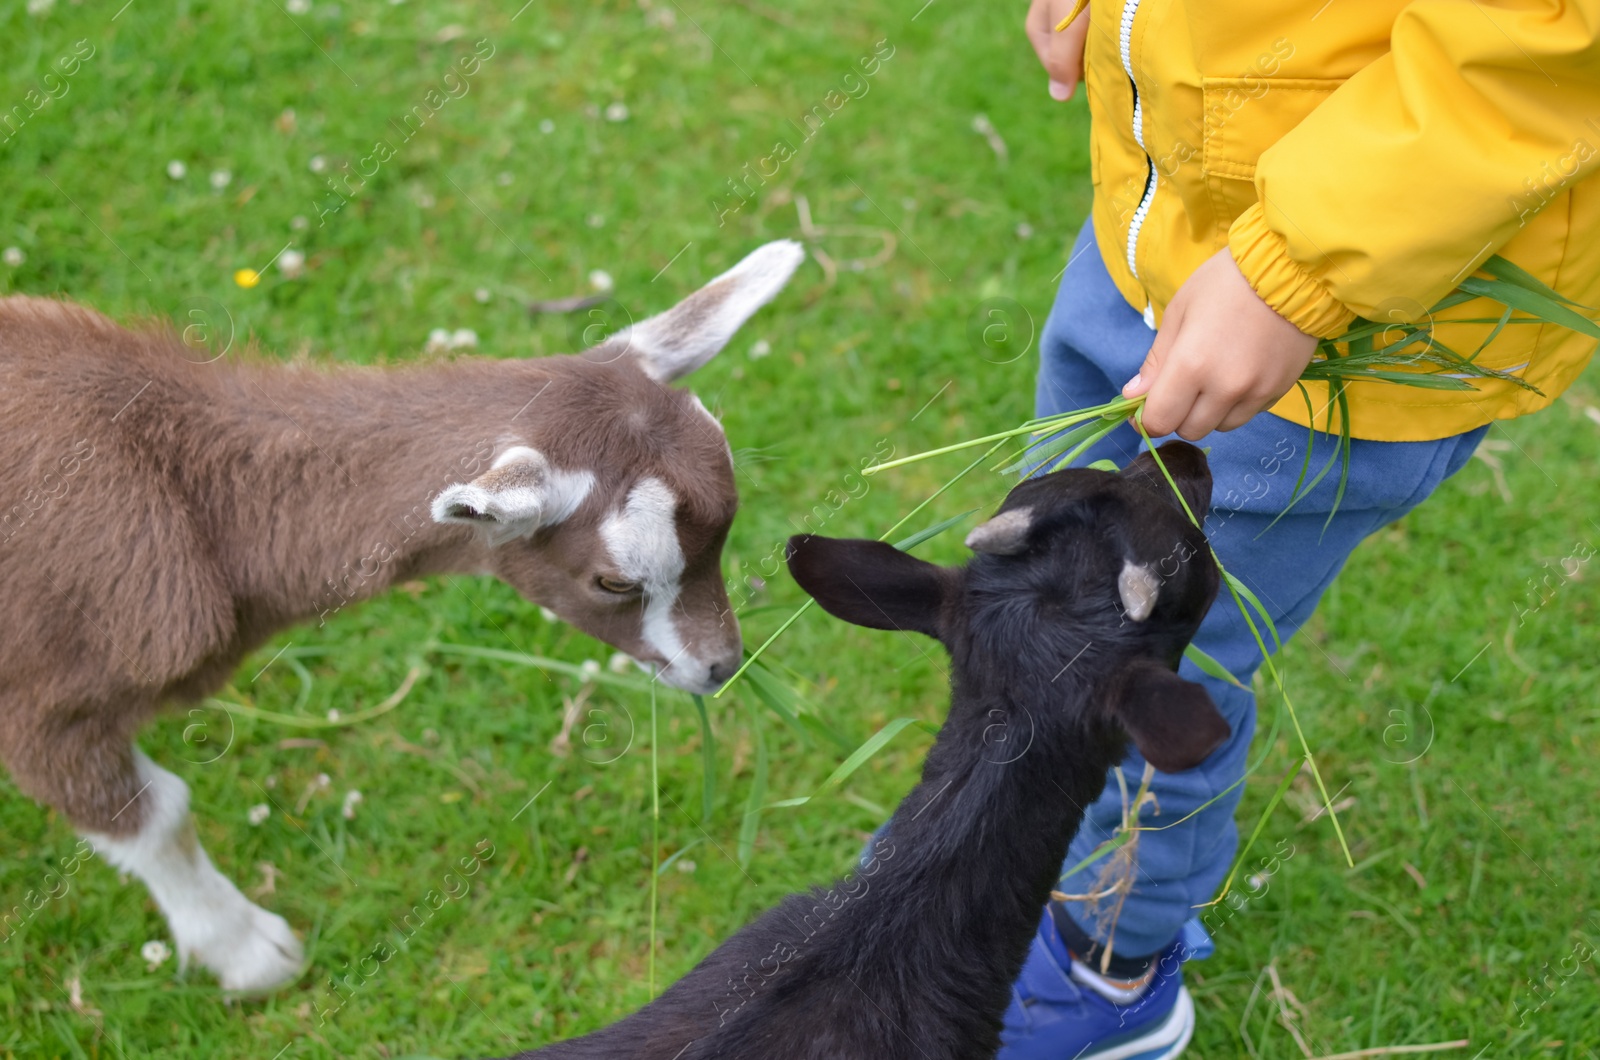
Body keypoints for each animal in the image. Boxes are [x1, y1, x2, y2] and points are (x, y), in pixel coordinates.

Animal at [0, 240, 800, 999]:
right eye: (615, 581)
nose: (719, 665)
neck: (186, 485)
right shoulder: (42, 704)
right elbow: (157, 814)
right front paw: (248, 954)